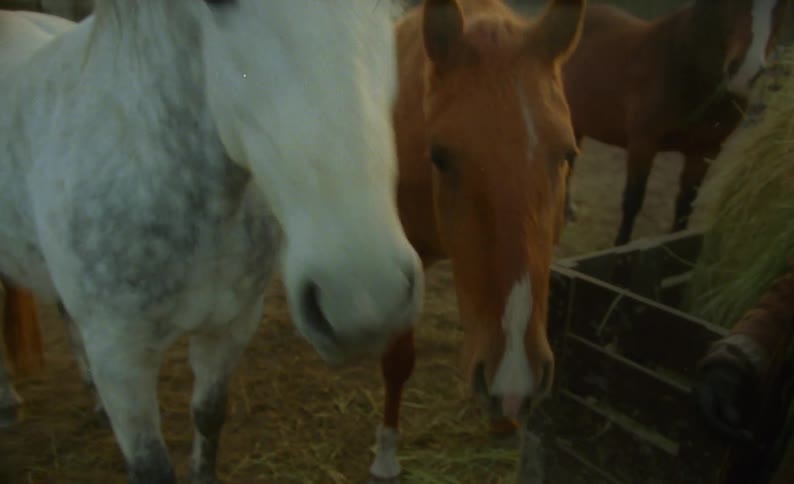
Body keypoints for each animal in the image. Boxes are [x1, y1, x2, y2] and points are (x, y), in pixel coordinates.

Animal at [367, 0, 585, 480]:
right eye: (440, 156)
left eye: (568, 154)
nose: (515, 380)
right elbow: (397, 361)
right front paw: (386, 453)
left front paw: (505, 421)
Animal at [562, 0, 790, 246]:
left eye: (782, 5)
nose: (745, 74)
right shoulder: (643, 143)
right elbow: (633, 201)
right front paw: (620, 245)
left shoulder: (706, 150)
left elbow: (685, 205)